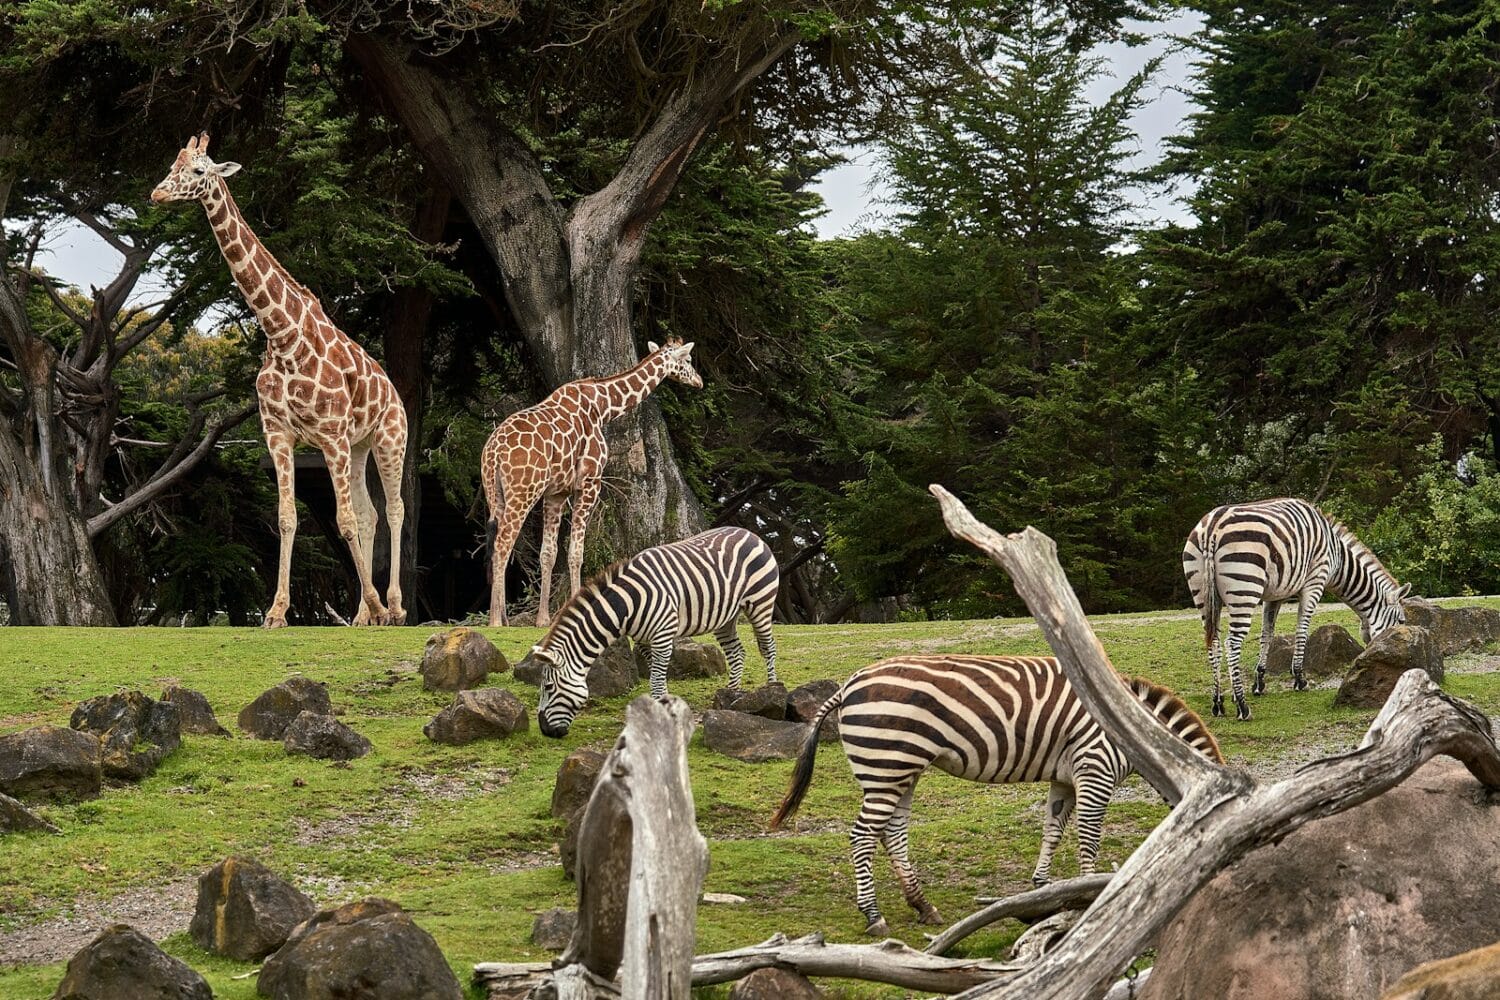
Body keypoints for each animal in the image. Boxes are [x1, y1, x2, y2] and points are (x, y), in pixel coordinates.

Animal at [151, 133, 407, 628]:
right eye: (172, 164)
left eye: (198, 171)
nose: (156, 194)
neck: (282, 334)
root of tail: (394, 391)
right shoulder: (279, 433)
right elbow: (288, 516)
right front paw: (276, 612)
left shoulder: (330, 435)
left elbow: (344, 520)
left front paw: (375, 604)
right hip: (360, 445)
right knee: (370, 513)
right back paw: (365, 615)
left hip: (389, 438)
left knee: (394, 508)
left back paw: (394, 606)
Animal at [481, 338, 703, 627]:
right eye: (687, 360)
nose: (699, 381)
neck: (603, 406)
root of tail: (493, 452)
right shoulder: (589, 482)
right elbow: (576, 552)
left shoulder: (557, 493)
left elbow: (548, 553)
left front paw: (543, 619)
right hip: (523, 493)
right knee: (502, 544)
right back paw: (495, 621)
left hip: (494, 493)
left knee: (496, 544)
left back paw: (502, 617)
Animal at [517, 526, 779, 738]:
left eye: (548, 687)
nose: (545, 731)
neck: (626, 606)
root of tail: (750, 533)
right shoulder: (643, 641)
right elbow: (657, 676)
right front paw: (662, 705)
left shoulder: (662, 635)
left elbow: (655, 679)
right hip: (726, 616)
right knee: (736, 652)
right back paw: (731, 693)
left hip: (761, 602)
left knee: (768, 647)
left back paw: (771, 691)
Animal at [769, 654, 1221, 936]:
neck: (1135, 731)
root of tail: (849, 684)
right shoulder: (1094, 769)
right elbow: (1088, 838)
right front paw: (1092, 894)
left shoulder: (1065, 777)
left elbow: (1053, 829)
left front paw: (1042, 888)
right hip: (887, 763)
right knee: (863, 836)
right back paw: (874, 914)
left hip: (898, 770)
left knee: (892, 834)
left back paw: (922, 906)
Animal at [1182, 497, 1410, 721]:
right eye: (1401, 622)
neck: (1337, 557)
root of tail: (1211, 527)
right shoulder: (1315, 582)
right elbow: (1302, 631)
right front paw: (1299, 678)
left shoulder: (1275, 595)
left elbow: (1267, 635)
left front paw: (1259, 682)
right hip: (1245, 587)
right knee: (1231, 644)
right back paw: (1242, 706)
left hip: (1203, 594)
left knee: (1214, 643)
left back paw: (1218, 703)